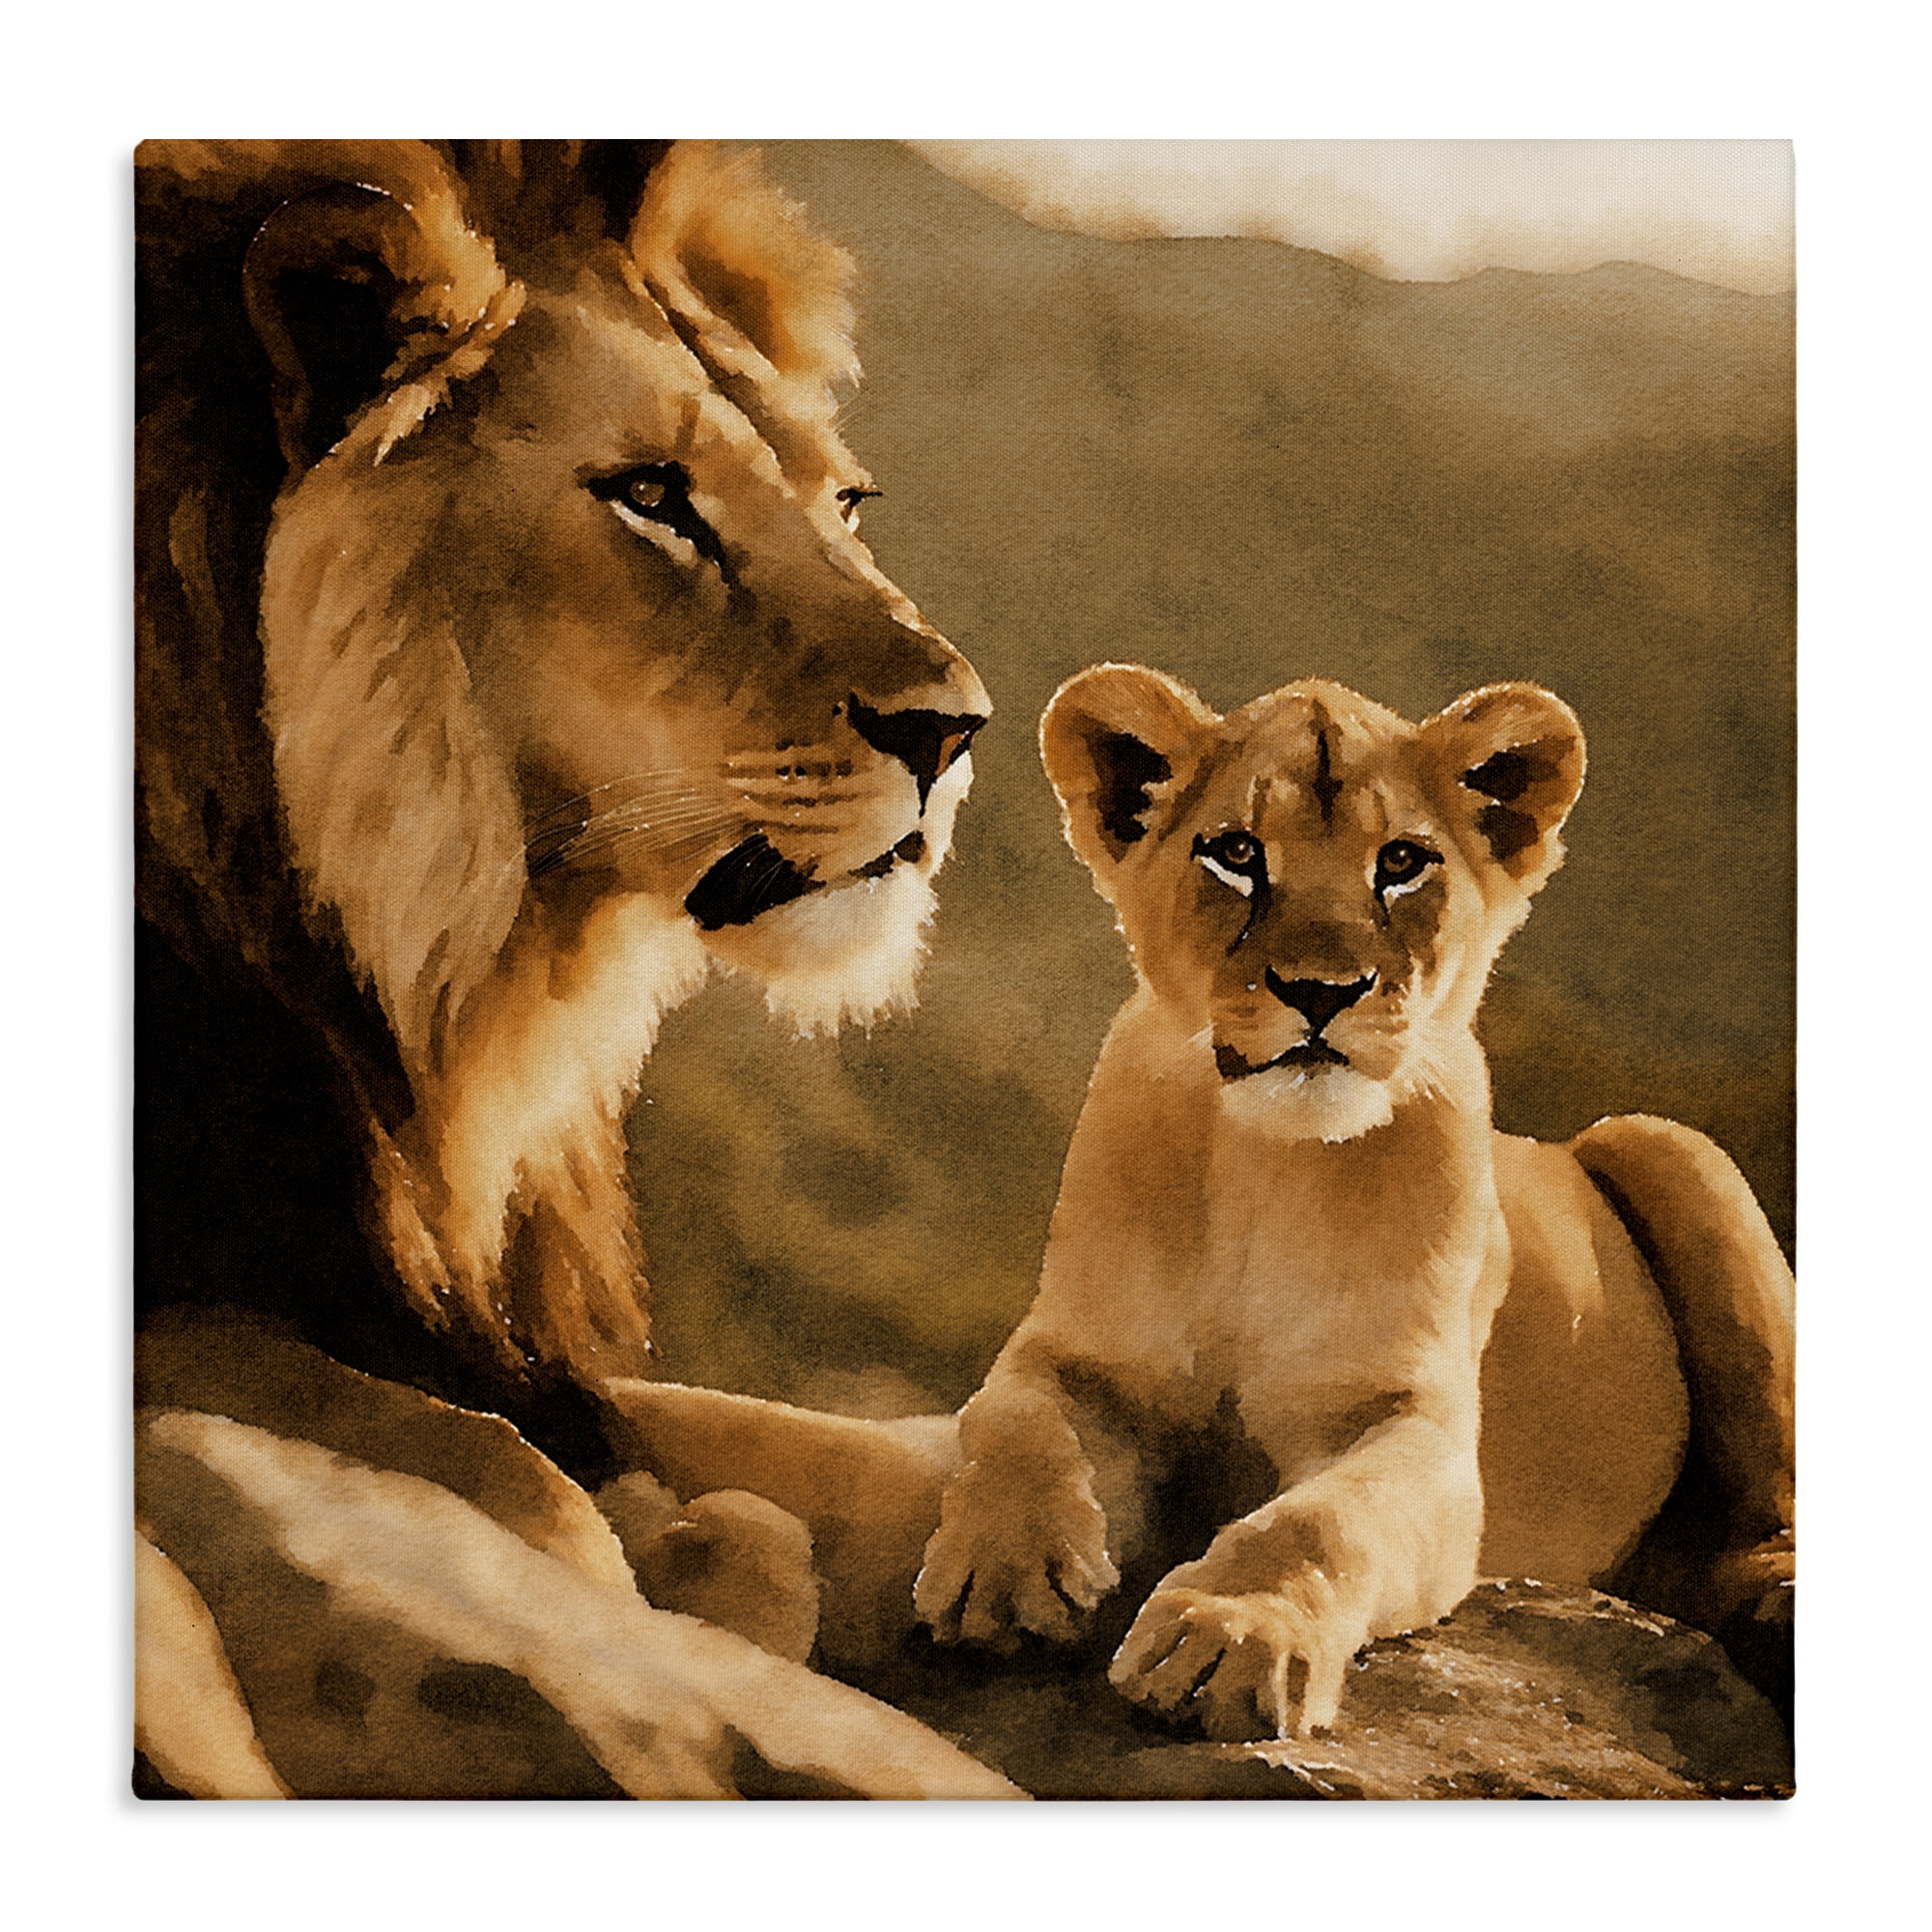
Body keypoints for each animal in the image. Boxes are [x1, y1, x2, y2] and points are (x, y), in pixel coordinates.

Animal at [907, 665, 1794, 1740]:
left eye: (1402, 862)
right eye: (1237, 853)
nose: (1320, 989)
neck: (1268, 1167)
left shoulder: (1417, 1427)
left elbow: (1316, 1520)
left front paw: (1228, 1635)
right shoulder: (1075, 1351)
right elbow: (1014, 1424)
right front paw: (1003, 1571)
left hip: (1667, 1144)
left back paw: (1776, 1599)